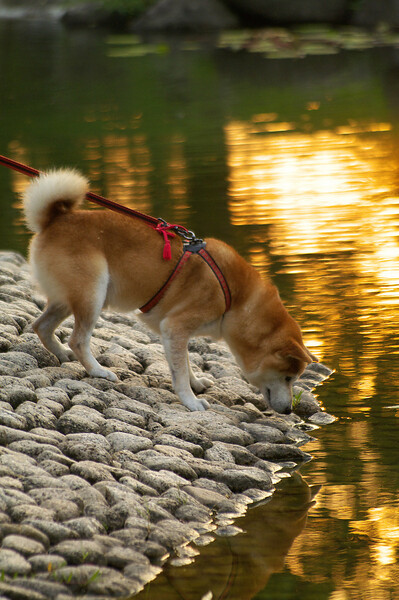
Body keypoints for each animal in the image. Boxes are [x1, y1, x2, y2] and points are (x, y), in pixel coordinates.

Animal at [22, 169, 318, 412]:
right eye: (289, 377)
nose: (289, 410)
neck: (236, 298)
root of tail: (54, 220)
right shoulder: (175, 327)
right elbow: (180, 373)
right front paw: (191, 401)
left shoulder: (176, 333)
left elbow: (184, 364)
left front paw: (196, 384)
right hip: (93, 294)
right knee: (78, 339)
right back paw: (98, 371)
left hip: (69, 299)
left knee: (41, 326)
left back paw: (61, 354)